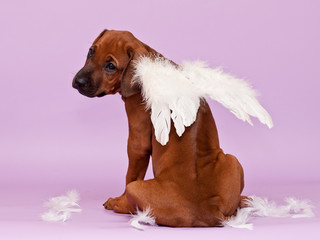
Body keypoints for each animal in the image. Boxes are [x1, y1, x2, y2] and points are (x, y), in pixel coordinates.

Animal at [72, 30, 245, 227]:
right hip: (234, 161)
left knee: (133, 198)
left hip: (136, 189)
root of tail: (209, 210)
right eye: (91, 52)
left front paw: (119, 199)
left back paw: (118, 204)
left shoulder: (137, 143)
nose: (78, 82)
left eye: (111, 66)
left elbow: (131, 174)